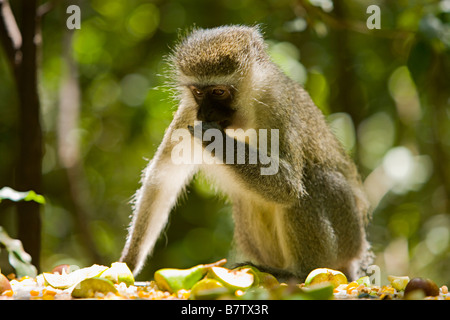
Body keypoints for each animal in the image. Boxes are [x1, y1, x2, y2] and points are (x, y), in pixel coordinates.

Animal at [120, 25, 372, 280]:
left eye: (219, 92)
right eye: (198, 93)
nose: (205, 113)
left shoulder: (276, 103)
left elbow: (288, 185)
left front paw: (216, 139)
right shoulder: (188, 113)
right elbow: (163, 179)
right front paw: (128, 262)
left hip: (347, 231)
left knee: (310, 183)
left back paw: (300, 273)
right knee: (246, 198)